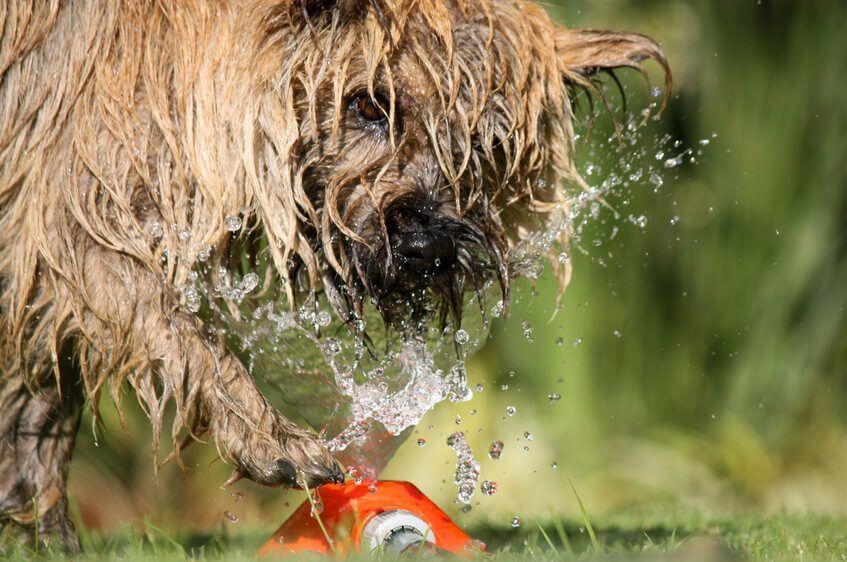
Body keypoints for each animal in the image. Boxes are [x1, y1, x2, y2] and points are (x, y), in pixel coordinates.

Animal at [0, 0, 672, 552]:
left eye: (484, 146)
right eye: (367, 104)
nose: (427, 246)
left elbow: (44, 397)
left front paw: (41, 533)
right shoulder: (68, 220)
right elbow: (177, 331)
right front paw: (272, 440)